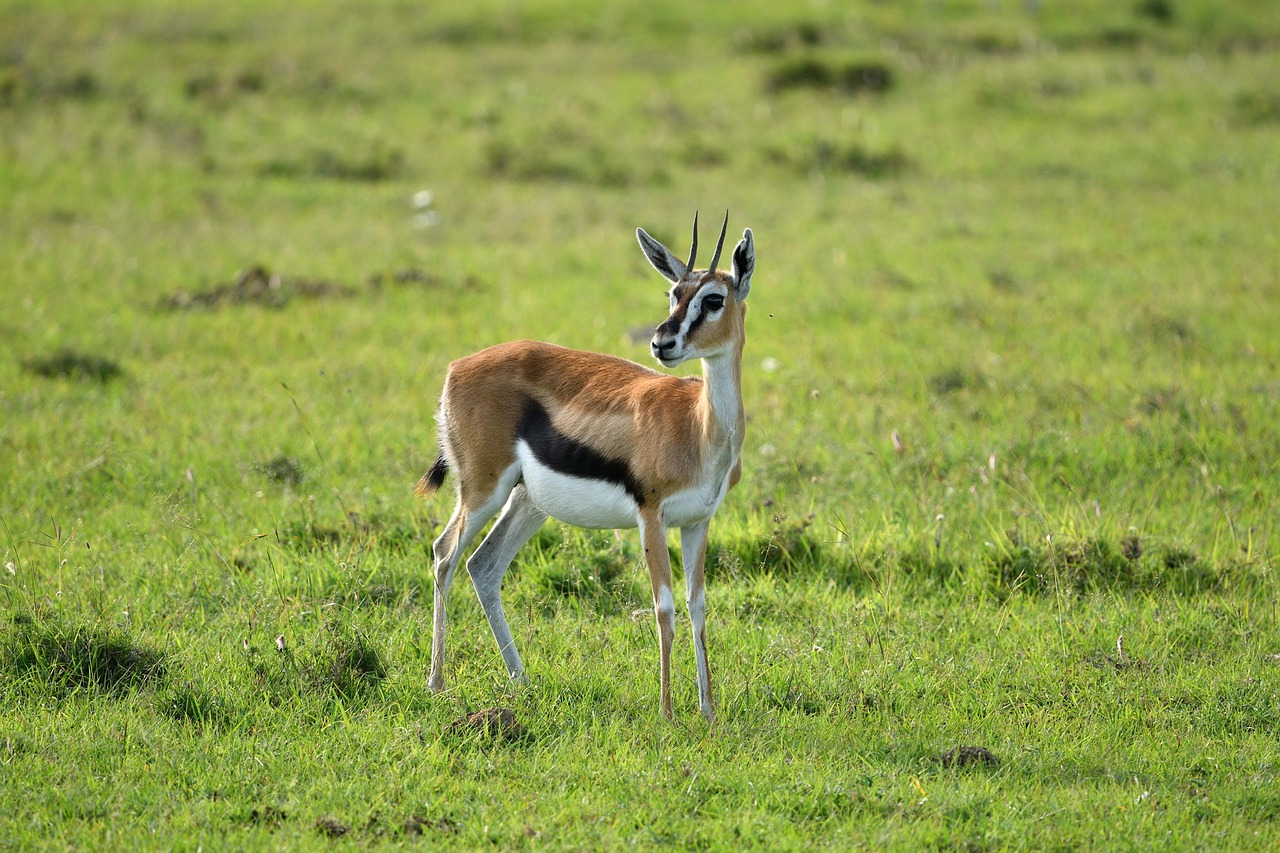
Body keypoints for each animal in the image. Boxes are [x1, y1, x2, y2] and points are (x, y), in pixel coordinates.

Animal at [417, 211, 755, 722]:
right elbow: (664, 607)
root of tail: (457, 367)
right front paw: (667, 713)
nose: (662, 342)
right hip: (483, 491)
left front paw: (709, 712)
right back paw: (437, 683)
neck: (697, 426)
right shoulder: (650, 517)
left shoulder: (698, 522)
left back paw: (522, 681)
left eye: (713, 298)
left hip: (528, 503)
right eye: (673, 293)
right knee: (444, 554)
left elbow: (697, 606)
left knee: (483, 565)